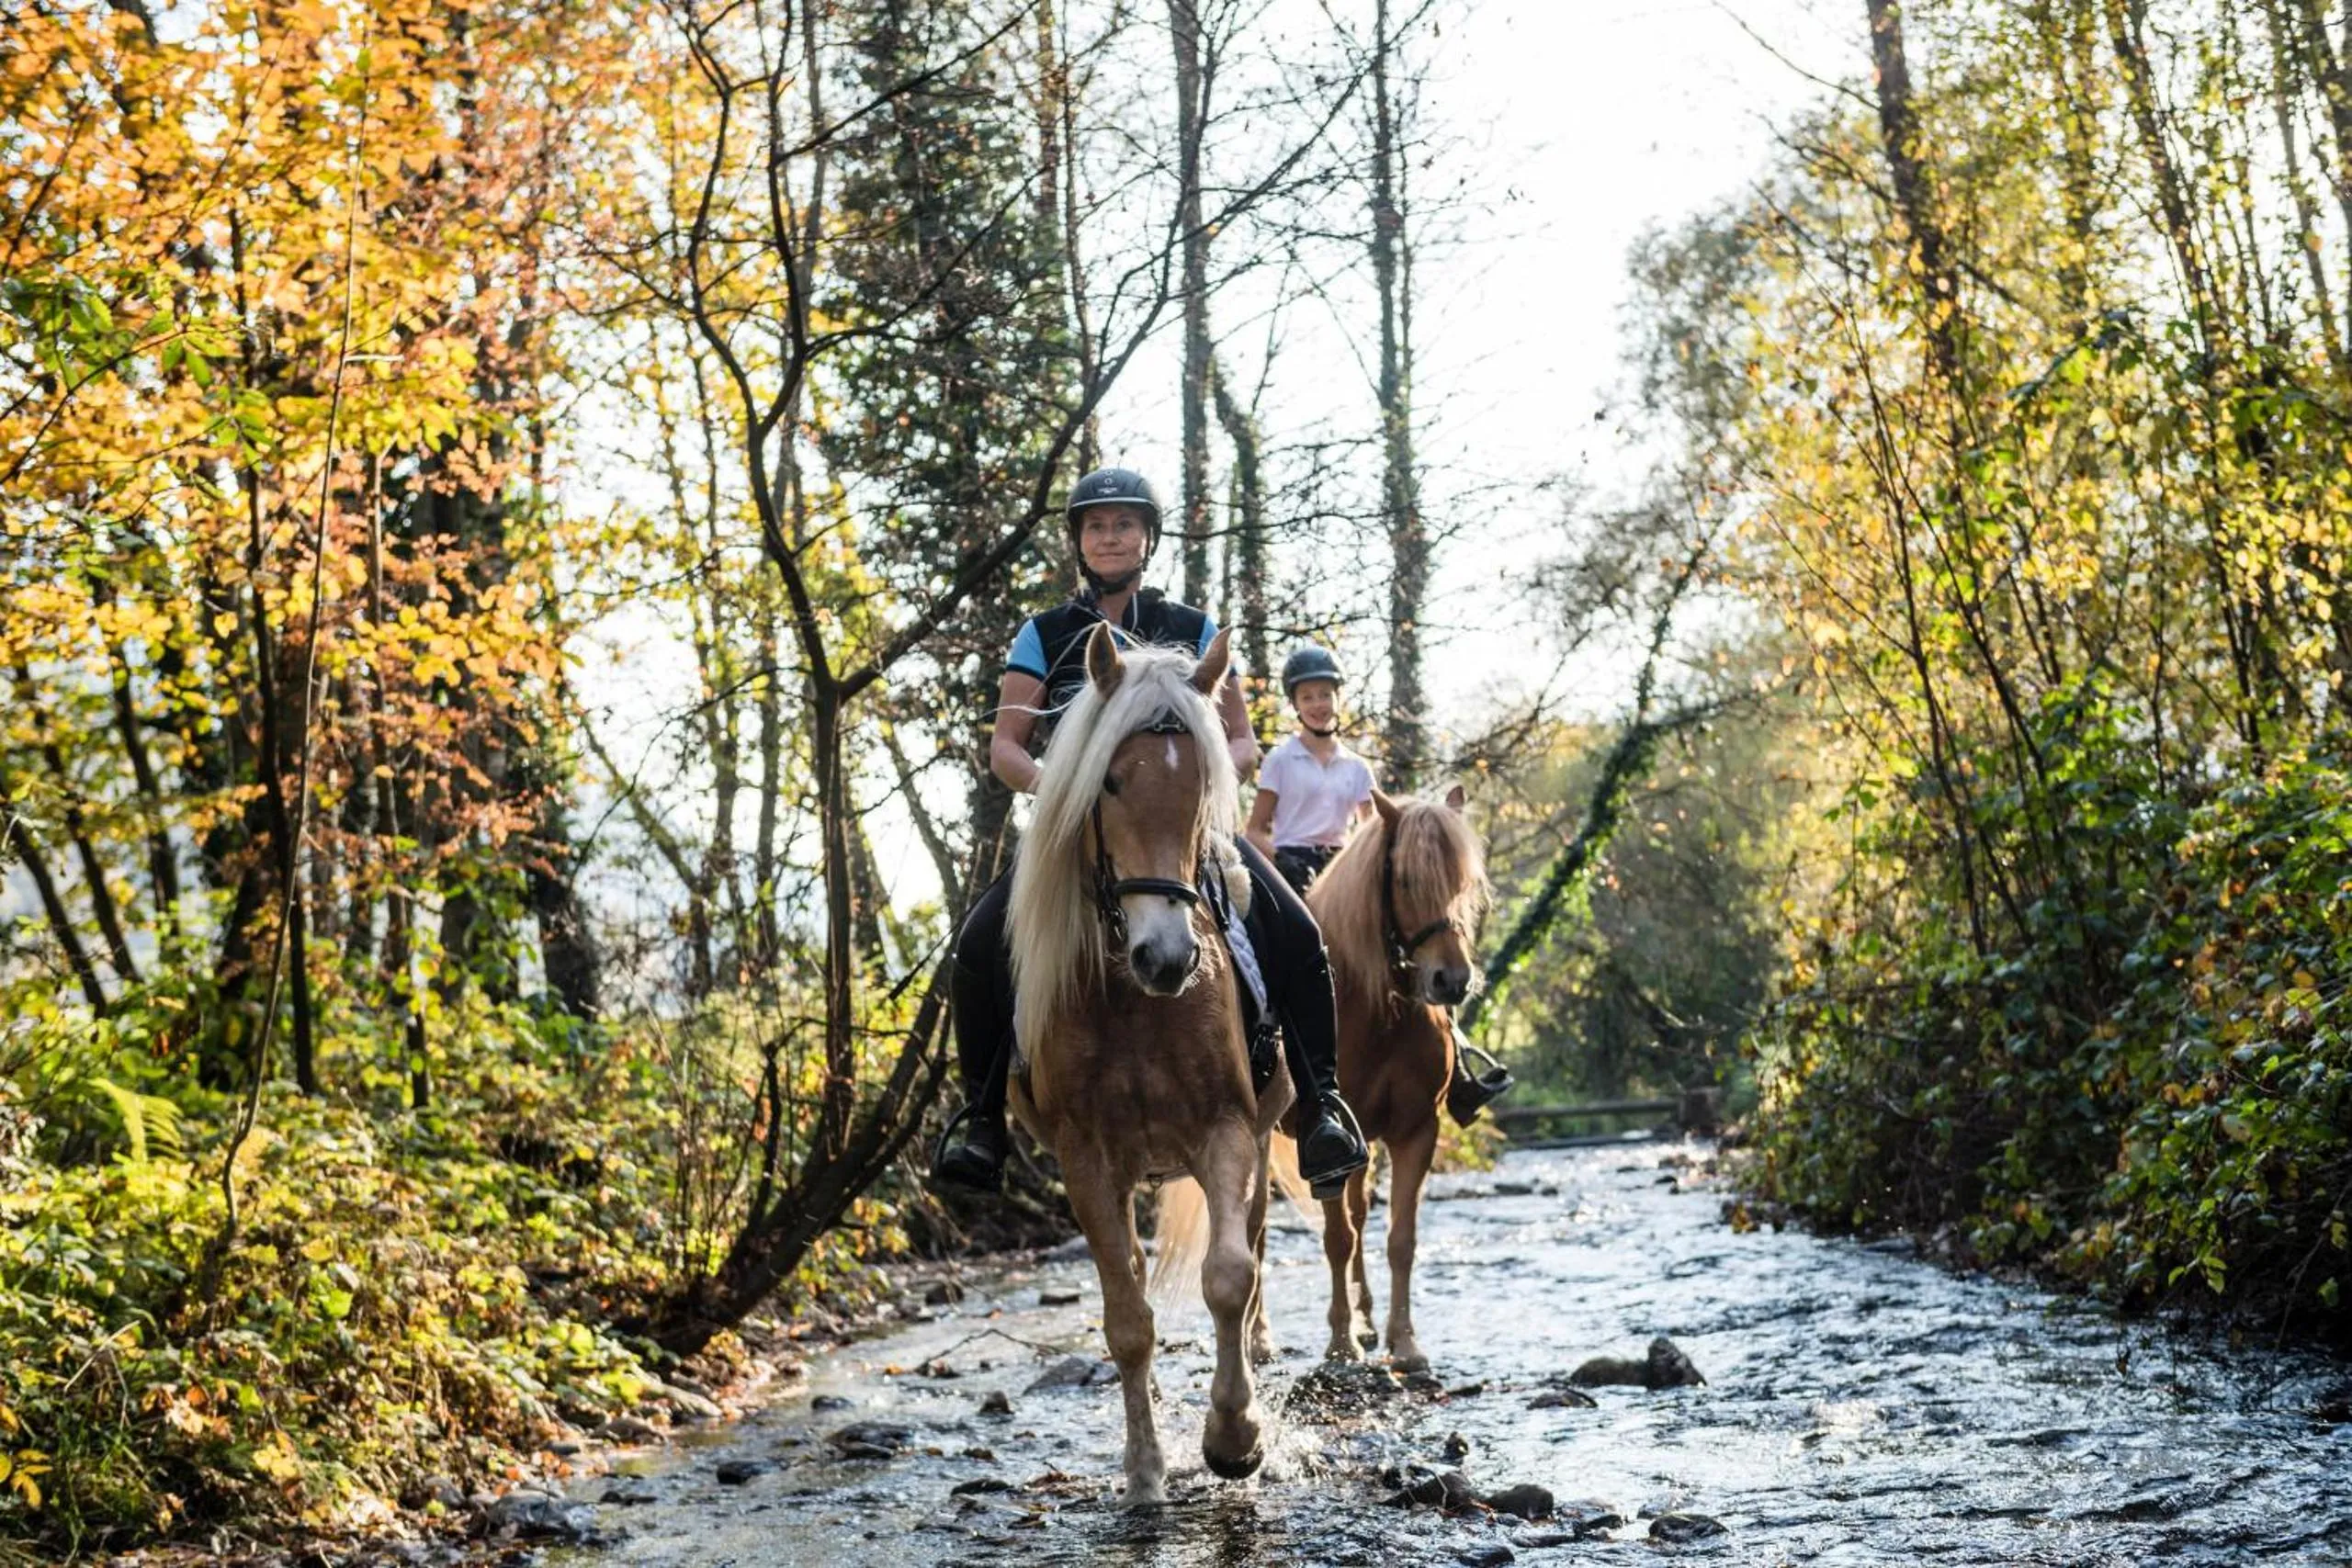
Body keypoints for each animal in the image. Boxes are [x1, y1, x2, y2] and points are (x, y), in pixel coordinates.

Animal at [1005, 621, 1292, 1505]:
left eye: (1203, 786)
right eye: (1111, 783)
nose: (1168, 958)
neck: (1136, 1003)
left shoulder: (1227, 1128)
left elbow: (1229, 1274)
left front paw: (1234, 1437)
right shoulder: (1086, 1158)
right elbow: (1128, 1319)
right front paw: (1143, 1470)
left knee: (1253, 1251)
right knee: (1132, 1275)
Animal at [1304, 785, 1489, 1371]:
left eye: (1464, 883)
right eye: (1406, 880)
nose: (1452, 981)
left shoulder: (1414, 1130)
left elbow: (1399, 1238)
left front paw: (1403, 1342)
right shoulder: (1324, 1148)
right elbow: (1336, 1237)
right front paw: (1340, 1343)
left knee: (1362, 1215)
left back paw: (1366, 1319)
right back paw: (1260, 1339)